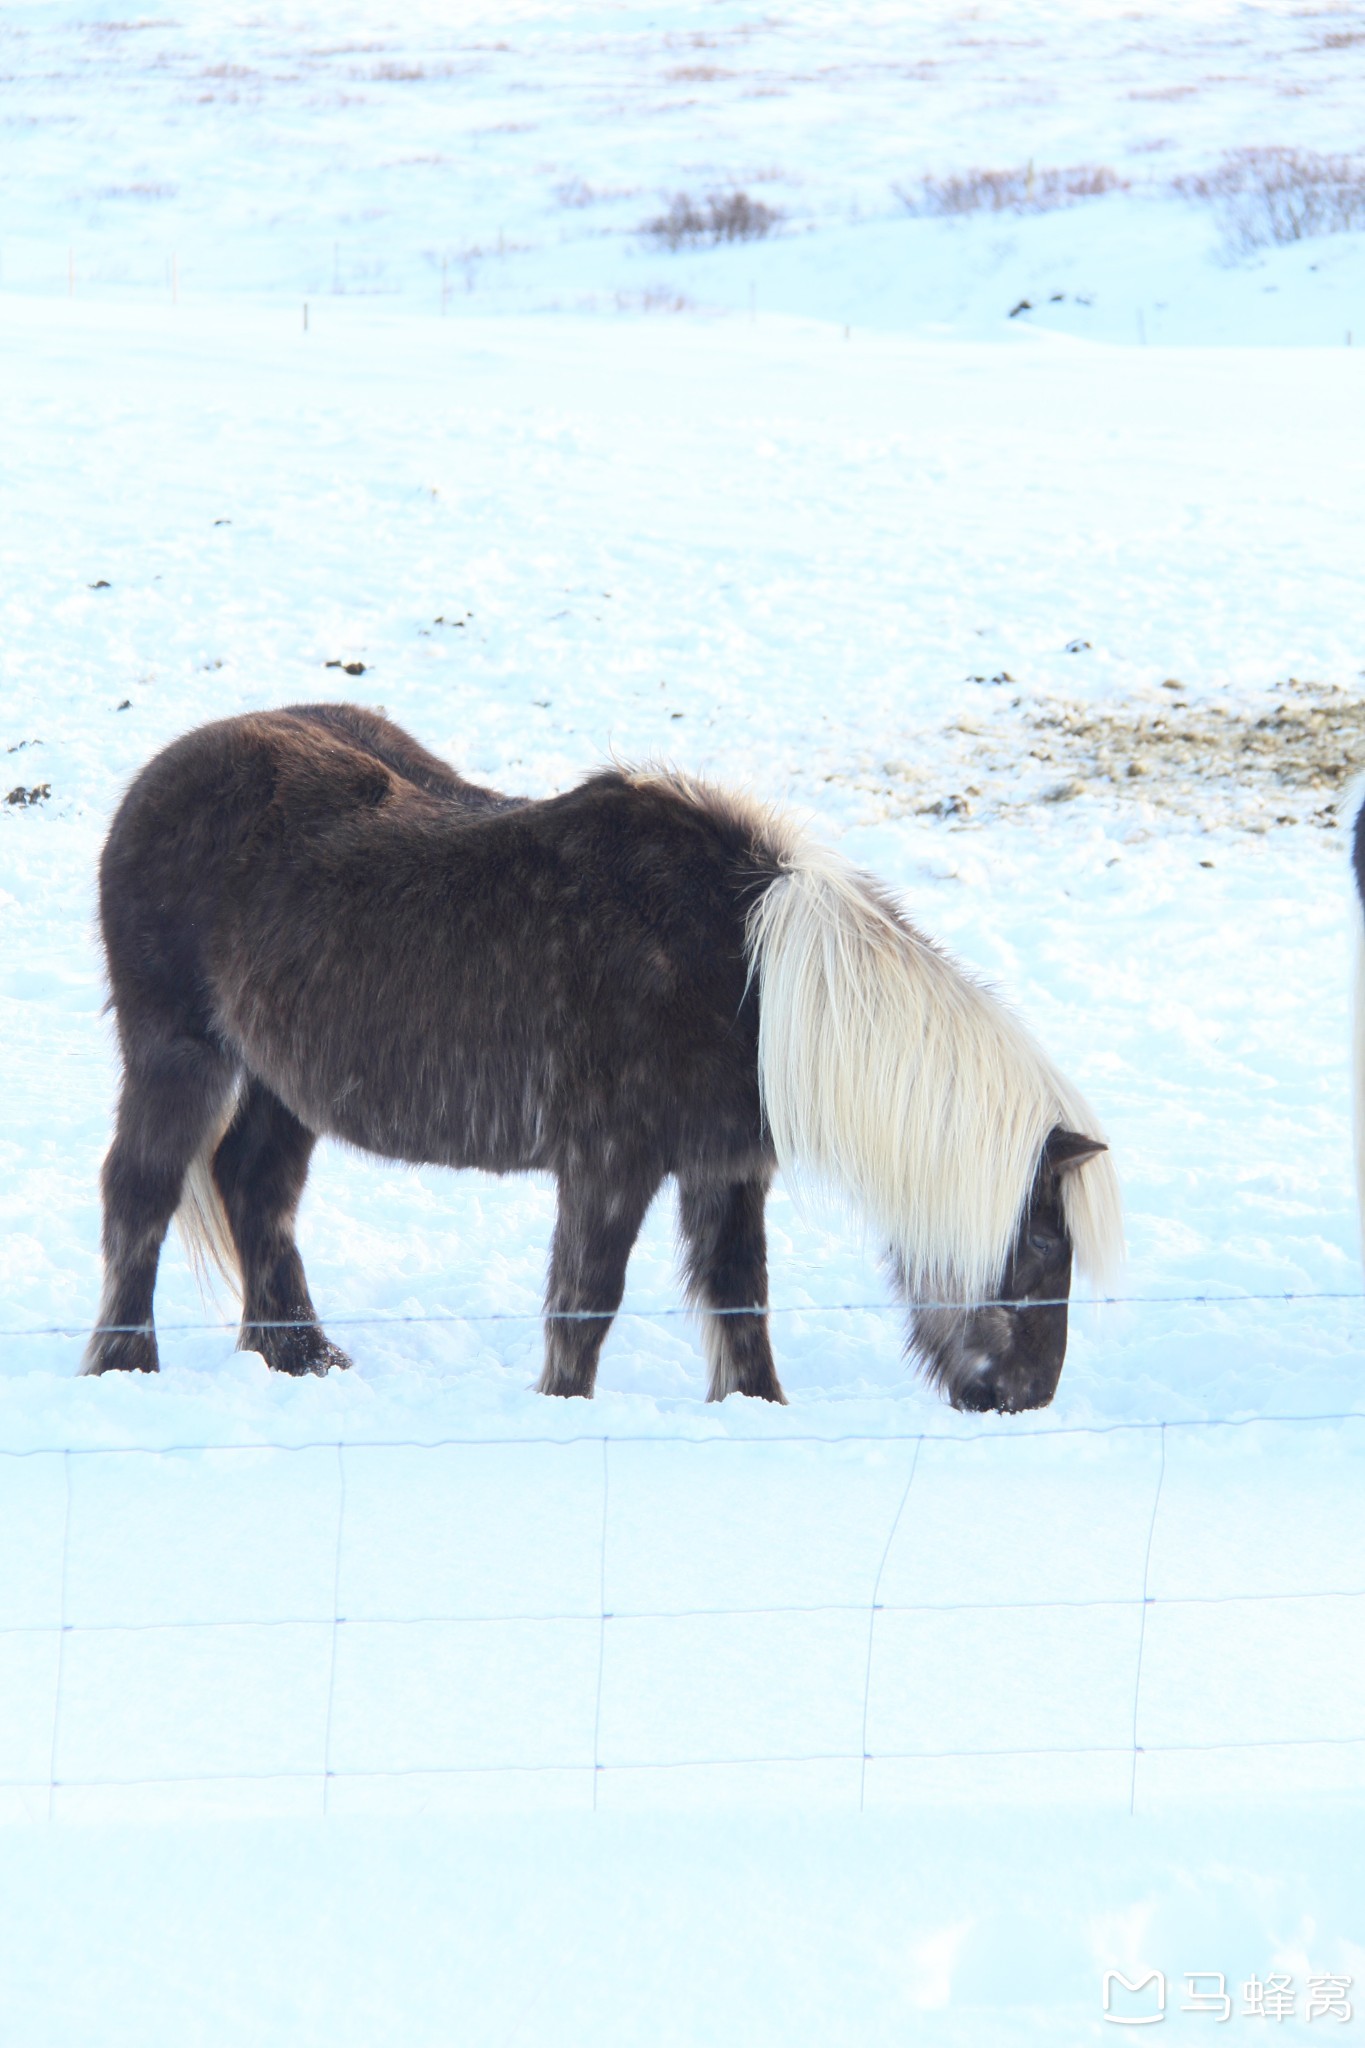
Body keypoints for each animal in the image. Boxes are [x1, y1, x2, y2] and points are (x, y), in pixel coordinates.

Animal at [90, 704, 1129, 1409]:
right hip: (178, 1049)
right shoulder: (608, 1162)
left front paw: (755, 1409)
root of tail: (162, 773)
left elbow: (738, 1297)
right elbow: (587, 1297)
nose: (1025, 1397)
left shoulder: (725, 1168)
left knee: (254, 1186)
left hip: (279, 1080)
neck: (748, 978)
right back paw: (124, 1365)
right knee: (141, 1192)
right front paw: (562, 1408)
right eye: (1044, 1243)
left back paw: (300, 1357)